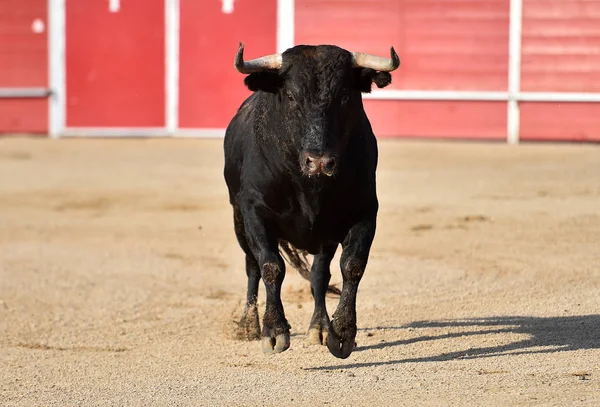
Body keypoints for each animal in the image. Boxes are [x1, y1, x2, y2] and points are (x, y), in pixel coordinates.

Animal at [223, 42, 400, 360]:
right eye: (292, 96)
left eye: (344, 96)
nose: (319, 162)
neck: (310, 186)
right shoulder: (253, 212)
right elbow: (270, 267)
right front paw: (273, 332)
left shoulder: (365, 212)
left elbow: (352, 266)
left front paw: (341, 333)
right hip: (238, 219)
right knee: (252, 266)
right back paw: (248, 325)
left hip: (325, 236)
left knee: (319, 275)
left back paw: (319, 327)